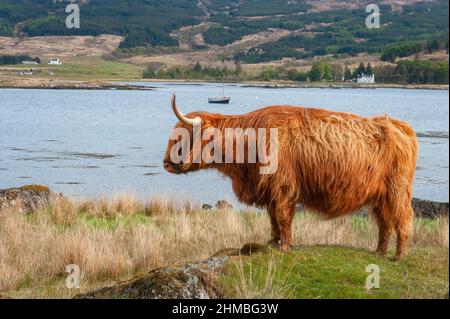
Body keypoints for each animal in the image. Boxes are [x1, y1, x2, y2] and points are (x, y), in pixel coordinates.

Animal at [164, 94, 418, 262]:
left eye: (182, 136)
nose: (165, 163)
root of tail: (399, 125)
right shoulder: (268, 189)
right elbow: (272, 218)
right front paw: (272, 241)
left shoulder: (284, 186)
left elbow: (283, 217)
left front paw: (285, 246)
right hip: (381, 195)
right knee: (385, 222)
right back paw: (380, 251)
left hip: (398, 189)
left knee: (403, 218)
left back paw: (399, 256)